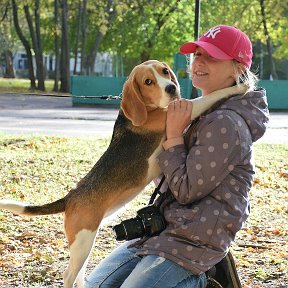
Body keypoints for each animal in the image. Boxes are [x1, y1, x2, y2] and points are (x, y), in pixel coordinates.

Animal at [0, 59, 246, 286]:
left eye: (165, 71)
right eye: (148, 82)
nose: (171, 89)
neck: (148, 109)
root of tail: (71, 196)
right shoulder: (181, 111)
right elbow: (207, 98)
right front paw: (240, 87)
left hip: (85, 241)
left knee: (78, 273)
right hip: (83, 240)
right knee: (68, 274)